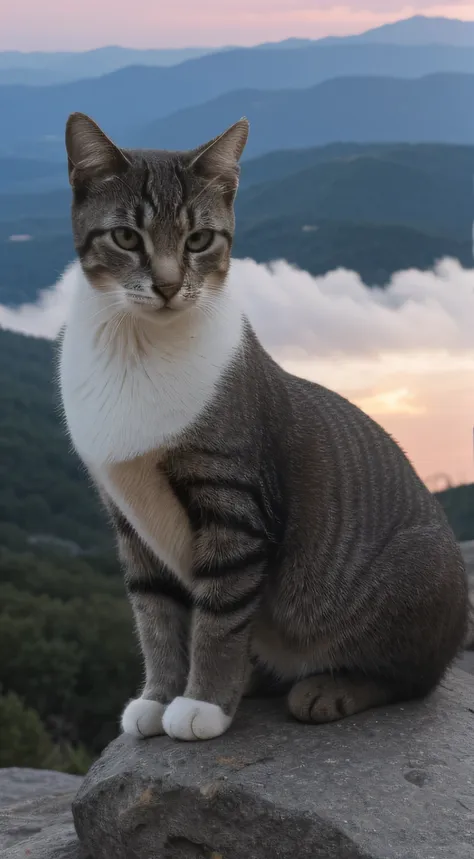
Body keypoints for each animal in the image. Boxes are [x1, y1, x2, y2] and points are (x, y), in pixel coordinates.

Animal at [58, 112, 466, 744]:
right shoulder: (127, 515)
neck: (139, 346)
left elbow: (220, 616)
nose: (168, 286)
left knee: (412, 677)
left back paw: (327, 689)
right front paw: (158, 696)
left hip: (415, 579)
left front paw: (202, 703)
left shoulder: (235, 506)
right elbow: (154, 614)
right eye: (126, 238)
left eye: (199, 240)